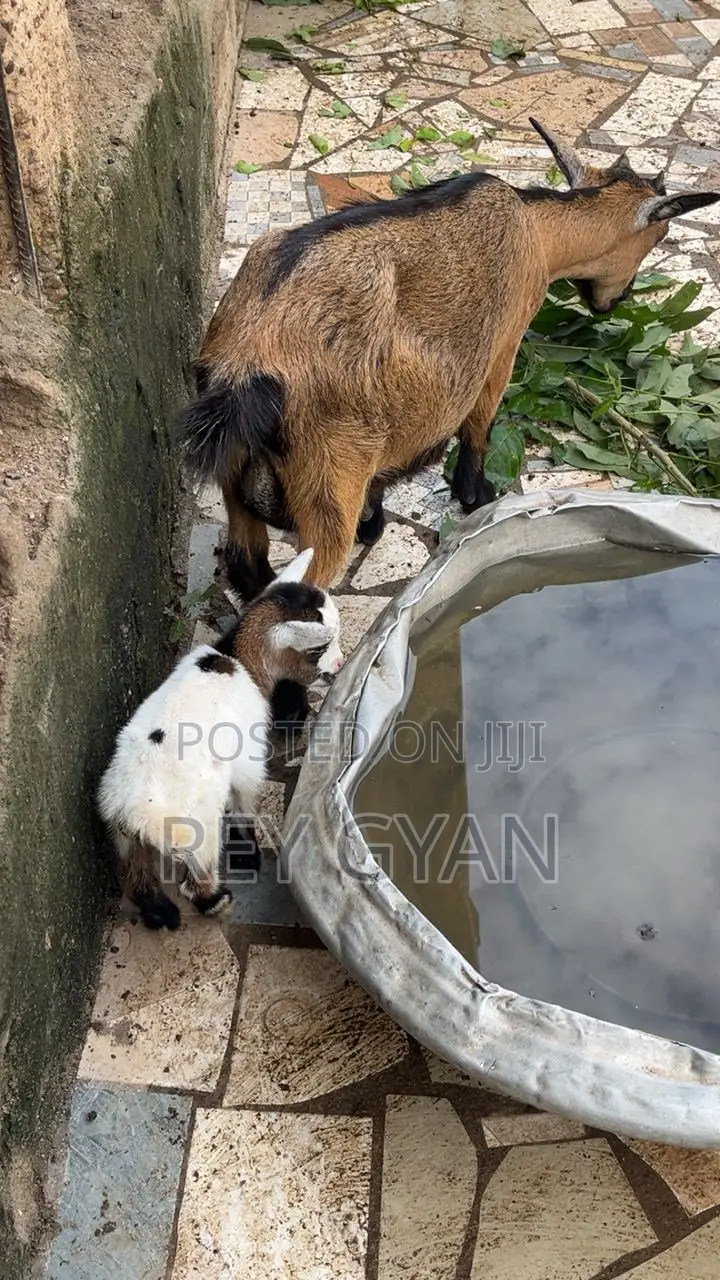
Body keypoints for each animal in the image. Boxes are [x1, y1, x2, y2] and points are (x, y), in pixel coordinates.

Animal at [97, 548, 342, 930]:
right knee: (195, 878)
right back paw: (215, 900)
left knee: (138, 878)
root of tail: (133, 810)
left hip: (125, 838)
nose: (341, 663)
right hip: (194, 832)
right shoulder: (246, 760)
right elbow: (244, 801)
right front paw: (248, 856)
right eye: (320, 647)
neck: (239, 661)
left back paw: (160, 913)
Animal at [177, 117, 720, 596]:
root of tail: (248, 365)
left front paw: (375, 520)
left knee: (248, 567)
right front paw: (476, 496)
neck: (537, 228)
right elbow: (480, 423)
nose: (617, 301)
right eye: (661, 236)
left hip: (237, 480)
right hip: (330, 477)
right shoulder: (503, 344)